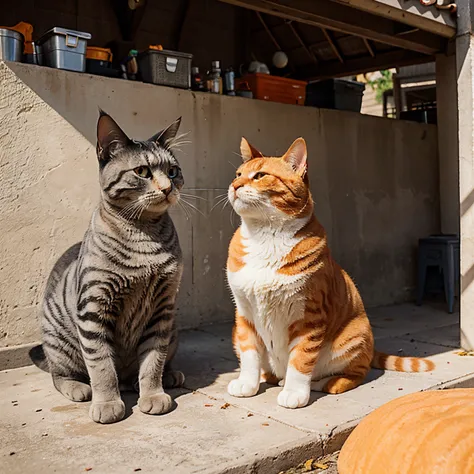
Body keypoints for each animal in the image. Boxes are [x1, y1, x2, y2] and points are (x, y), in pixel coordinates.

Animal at [33, 112, 185, 426]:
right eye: (142, 171)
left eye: (173, 171)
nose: (168, 187)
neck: (144, 234)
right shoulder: (94, 307)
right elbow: (102, 366)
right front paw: (107, 403)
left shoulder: (162, 308)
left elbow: (152, 361)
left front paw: (153, 394)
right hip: (60, 342)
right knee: (59, 375)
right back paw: (80, 388)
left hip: (174, 329)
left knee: (154, 365)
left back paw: (167, 376)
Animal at [226, 136, 436, 408]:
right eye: (238, 174)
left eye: (260, 175)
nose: (234, 185)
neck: (266, 238)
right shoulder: (244, 313)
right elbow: (249, 355)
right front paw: (248, 385)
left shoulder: (310, 316)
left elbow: (301, 360)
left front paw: (295, 393)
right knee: (270, 370)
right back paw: (275, 378)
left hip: (353, 336)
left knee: (353, 373)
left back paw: (319, 383)